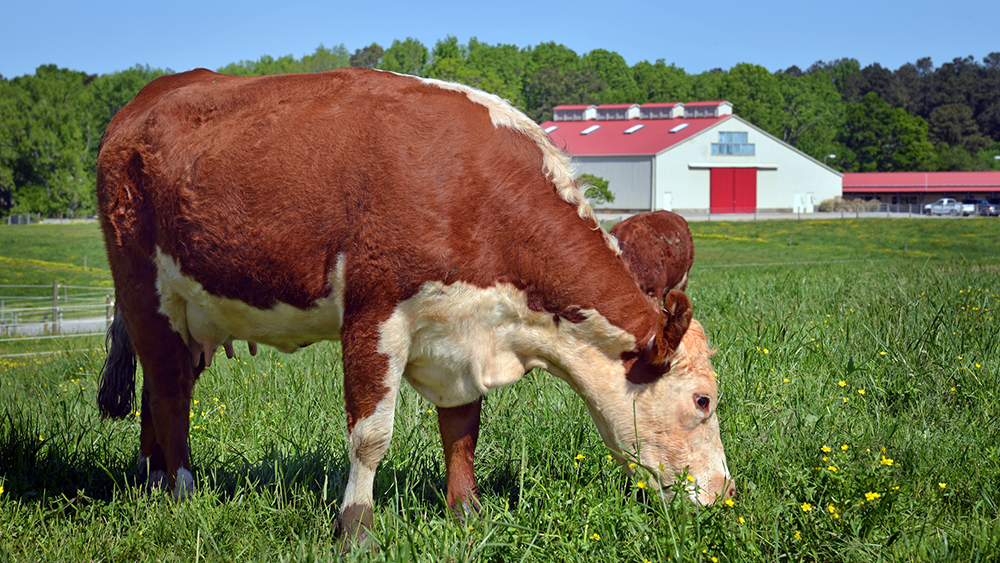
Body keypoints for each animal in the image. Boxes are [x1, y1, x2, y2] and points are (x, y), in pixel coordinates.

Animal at [94, 67, 736, 552]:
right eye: (703, 400)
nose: (725, 493)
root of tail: (146, 100)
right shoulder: (375, 316)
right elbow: (370, 436)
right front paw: (356, 531)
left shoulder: (464, 332)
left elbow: (462, 427)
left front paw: (467, 512)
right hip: (146, 291)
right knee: (170, 393)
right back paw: (181, 488)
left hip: (192, 314)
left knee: (163, 387)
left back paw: (151, 480)